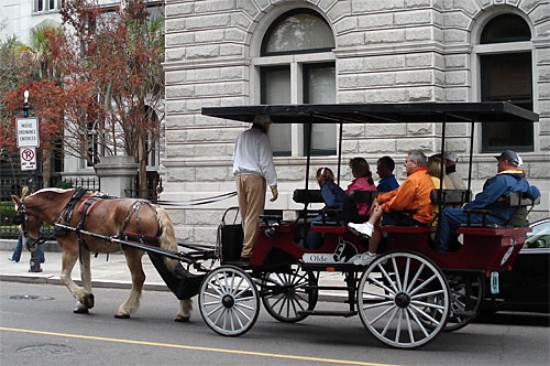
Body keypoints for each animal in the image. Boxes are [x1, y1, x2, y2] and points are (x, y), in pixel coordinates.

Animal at [11, 187, 194, 322]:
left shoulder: (70, 247)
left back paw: (125, 309)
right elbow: (85, 274)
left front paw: (83, 297)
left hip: (132, 251)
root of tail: (153, 207)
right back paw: (184, 311)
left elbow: (64, 275)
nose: (28, 243)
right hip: (156, 248)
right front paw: (83, 302)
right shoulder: (83, 247)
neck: (65, 206)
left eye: (19, 218)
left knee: (139, 278)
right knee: (176, 274)